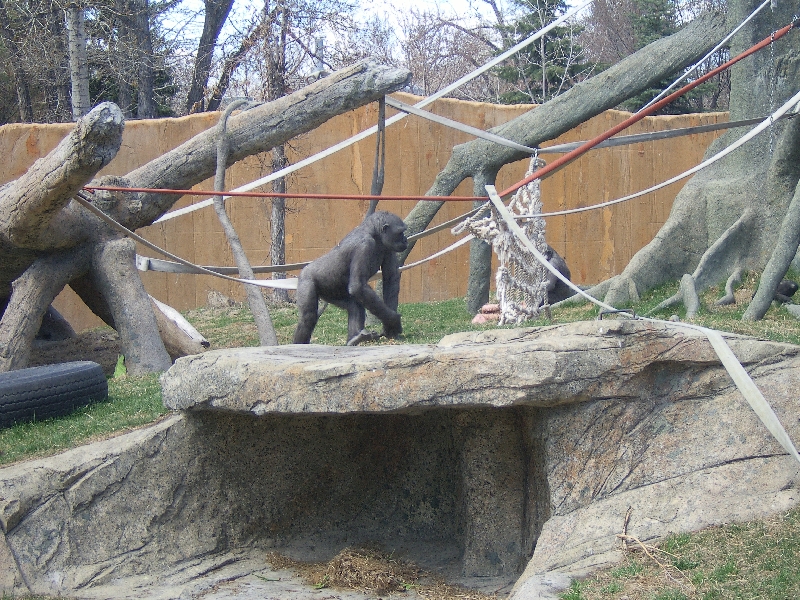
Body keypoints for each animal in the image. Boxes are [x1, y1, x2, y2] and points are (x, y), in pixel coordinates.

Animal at [292, 211, 406, 344]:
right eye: (400, 232)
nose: (405, 239)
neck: (373, 233)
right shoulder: (364, 246)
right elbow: (358, 286)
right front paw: (394, 321)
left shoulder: (387, 247)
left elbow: (390, 277)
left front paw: (389, 327)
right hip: (306, 280)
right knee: (308, 317)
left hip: (330, 293)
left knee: (354, 305)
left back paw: (354, 339)